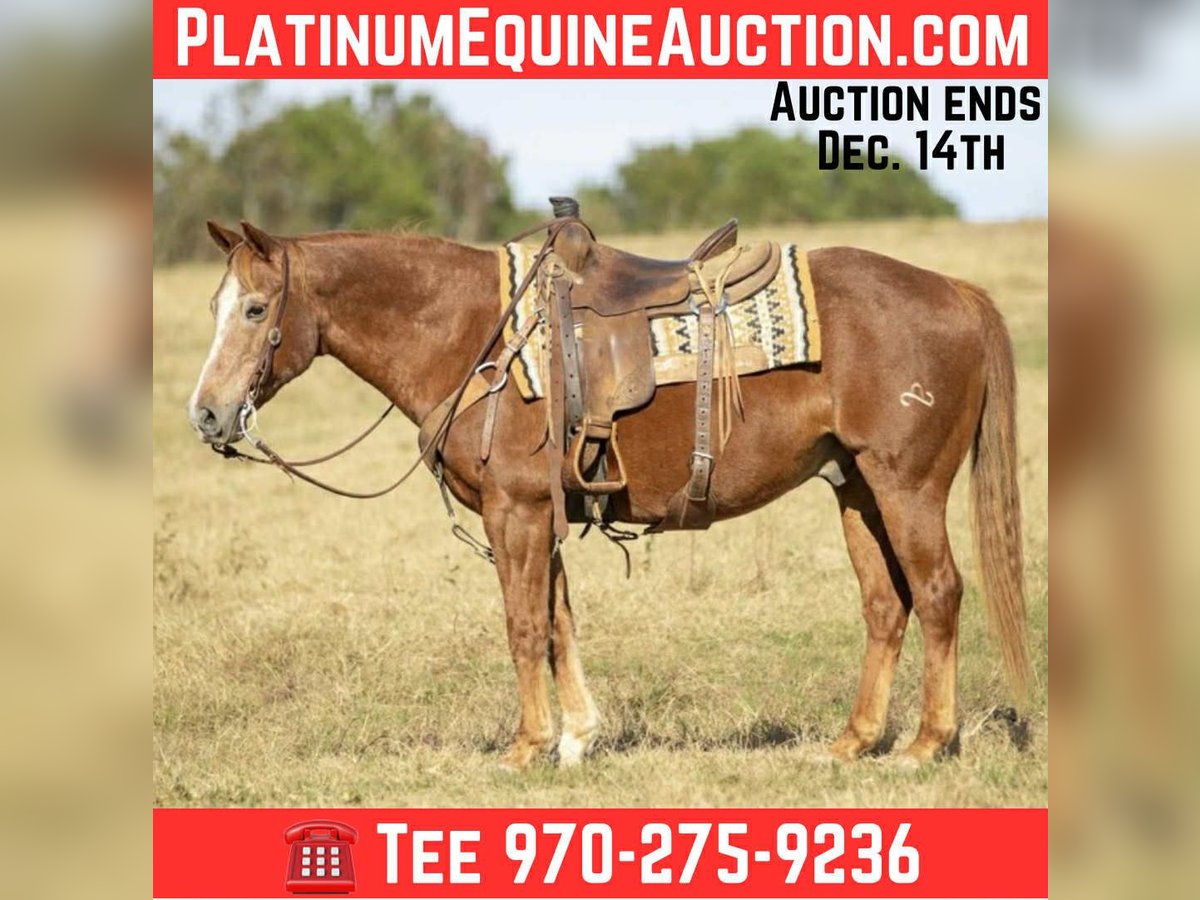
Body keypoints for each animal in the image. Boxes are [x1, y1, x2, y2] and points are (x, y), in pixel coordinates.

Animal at [187, 219, 1031, 770]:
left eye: (256, 309)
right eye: (216, 307)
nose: (208, 414)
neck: (472, 333)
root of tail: (956, 293)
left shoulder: (516, 511)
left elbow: (524, 625)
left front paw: (526, 747)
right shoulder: (541, 514)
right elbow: (560, 622)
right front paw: (576, 736)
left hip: (906, 485)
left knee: (938, 591)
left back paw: (925, 745)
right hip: (855, 487)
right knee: (886, 604)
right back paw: (854, 741)